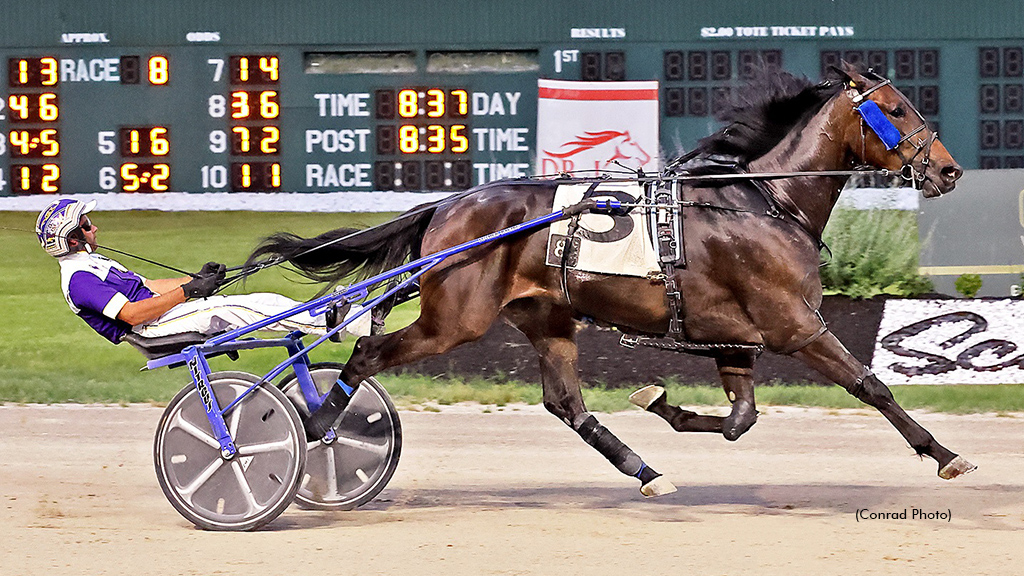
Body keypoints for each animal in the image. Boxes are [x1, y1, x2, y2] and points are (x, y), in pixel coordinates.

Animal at [251, 62, 970, 494]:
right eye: (896, 109)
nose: (949, 170)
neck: (762, 202)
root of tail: (451, 205)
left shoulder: (737, 337)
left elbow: (739, 419)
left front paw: (659, 403)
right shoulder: (795, 326)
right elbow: (870, 385)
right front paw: (943, 454)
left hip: (546, 316)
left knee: (566, 404)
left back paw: (644, 470)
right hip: (455, 319)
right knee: (367, 352)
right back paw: (317, 425)